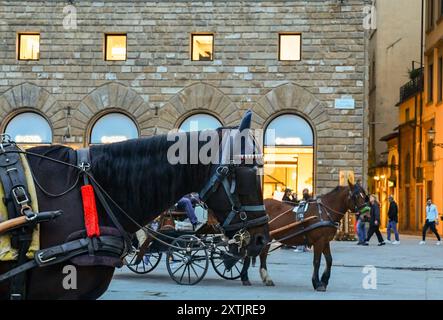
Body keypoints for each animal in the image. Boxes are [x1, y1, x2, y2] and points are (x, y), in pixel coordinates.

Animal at [238, 181, 370, 292]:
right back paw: (245, 277)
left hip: (265, 237)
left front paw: (324, 280)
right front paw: (317, 283)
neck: (324, 212)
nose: (366, 216)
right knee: (250, 253)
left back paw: (265, 278)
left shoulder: (325, 241)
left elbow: (329, 260)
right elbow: (317, 261)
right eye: (355, 196)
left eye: (364, 195)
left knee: (262, 255)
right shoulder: (319, 241)